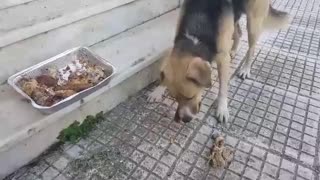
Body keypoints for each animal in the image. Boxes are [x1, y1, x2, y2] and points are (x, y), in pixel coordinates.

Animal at [149, 0, 288, 124]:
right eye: (175, 98)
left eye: (190, 97)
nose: (184, 120)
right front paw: (159, 89)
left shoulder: (223, 59)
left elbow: (223, 88)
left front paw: (222, 109)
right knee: (238, 32)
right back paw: (233, 50)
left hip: (253, 21)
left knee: (251, 46)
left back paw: (245, 69)